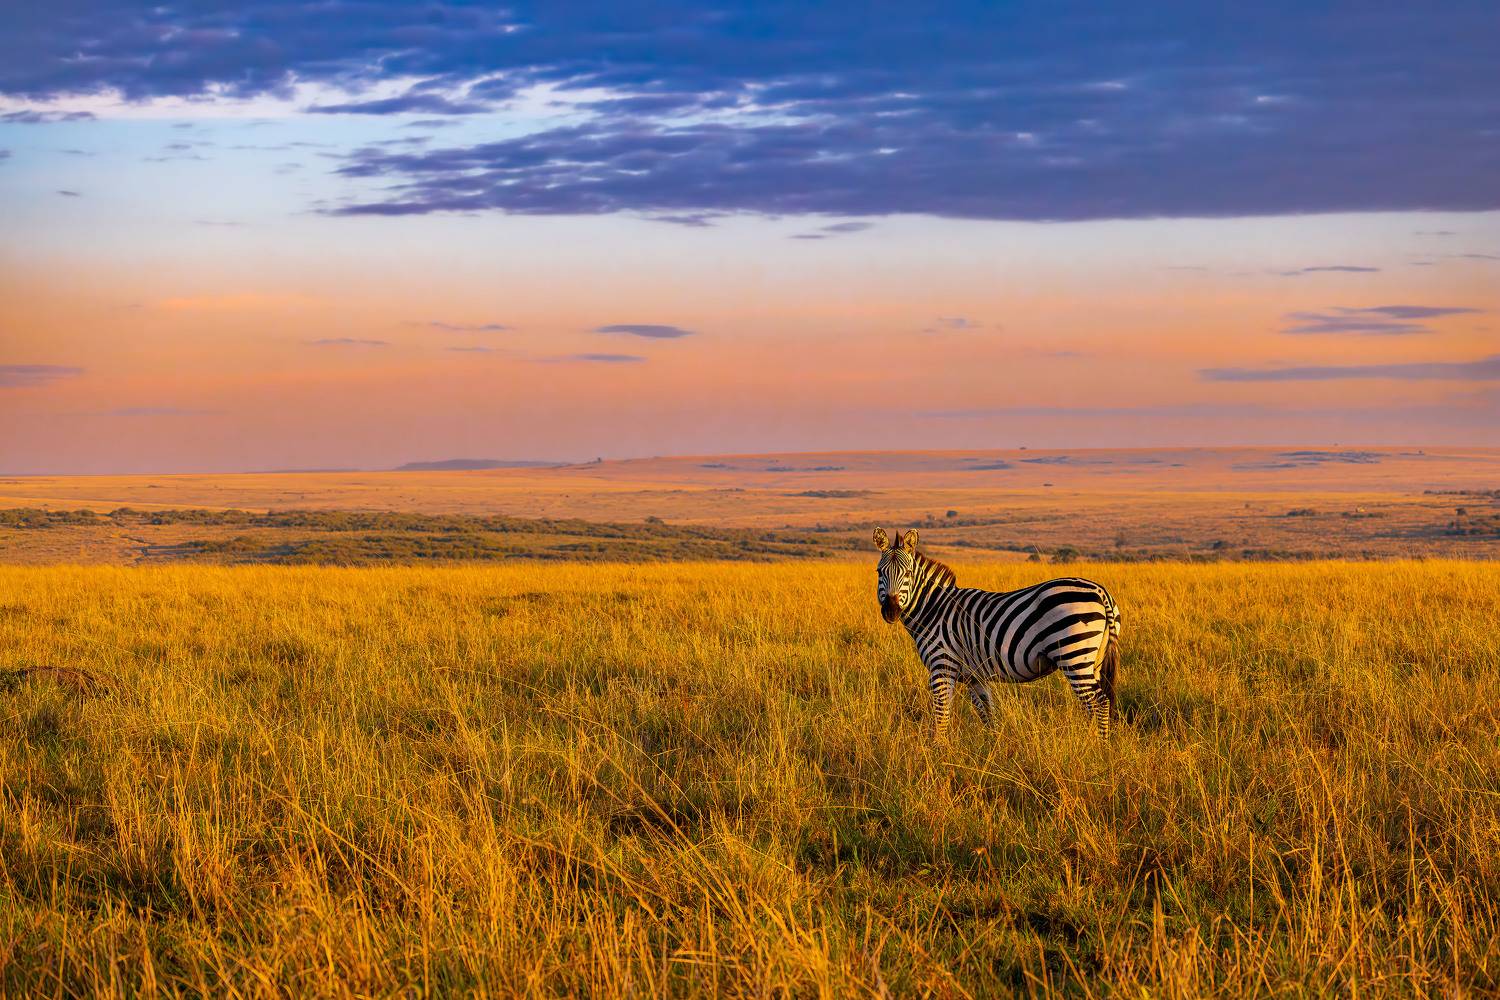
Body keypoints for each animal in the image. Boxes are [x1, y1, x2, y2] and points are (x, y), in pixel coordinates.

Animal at [873, 527, 1122, 737]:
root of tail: (1100, 591)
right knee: (1097, 702)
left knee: (1099, 702)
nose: (891, 611)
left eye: (907, 573)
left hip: (1074, 656)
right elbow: (987, 713)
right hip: (1093, 660)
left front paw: (938, 750)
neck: (934, 609)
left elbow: (941, 715)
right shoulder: (974, 676)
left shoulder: (942, 666)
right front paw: (993, 747)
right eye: (879, 572)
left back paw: (1098, 746)